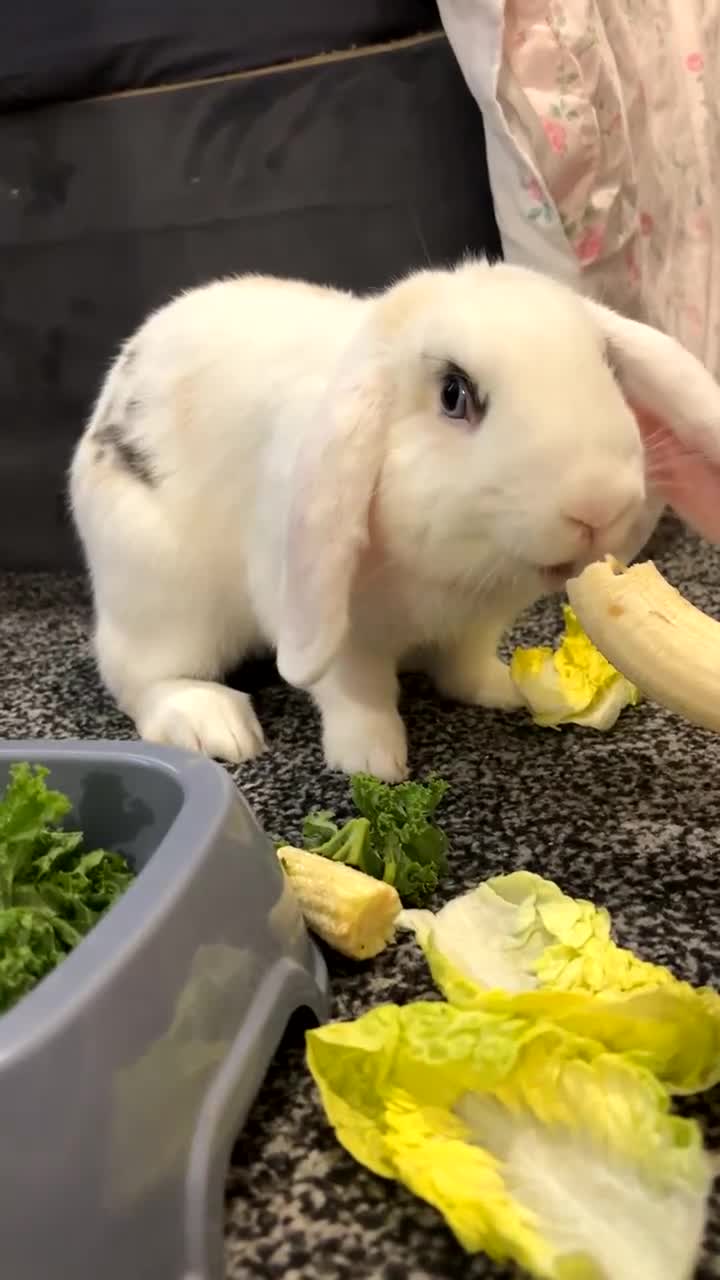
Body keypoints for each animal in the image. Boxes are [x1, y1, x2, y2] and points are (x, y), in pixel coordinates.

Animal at [69, 259, 720, 781]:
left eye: (606, 366)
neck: (456, 572)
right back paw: (216, 726)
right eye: (454, 394)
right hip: (161, 596)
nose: (600, 503)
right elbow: (355, 692)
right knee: (140, 679)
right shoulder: (335, 631)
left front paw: (504, 689)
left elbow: (463, 665)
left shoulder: (476, 624)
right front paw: (373, 762)